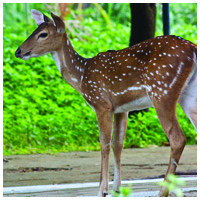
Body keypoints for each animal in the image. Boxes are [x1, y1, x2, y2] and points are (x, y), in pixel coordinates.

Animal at [15, 9, 197, 197]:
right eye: (35, 30)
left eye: (43, 34)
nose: (18, 51)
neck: (81, 76)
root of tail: (192, 48)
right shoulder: (121, 108)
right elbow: (118, 144)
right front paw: (117, 187)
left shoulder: (102, 103)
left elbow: (104, 143)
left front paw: (102, 190)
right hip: (188, 94)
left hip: (162, 91)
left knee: (177, 139)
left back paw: (162, 191)